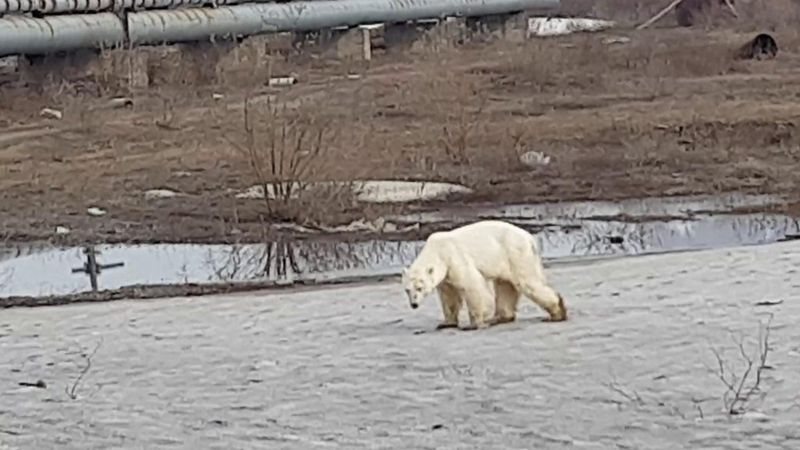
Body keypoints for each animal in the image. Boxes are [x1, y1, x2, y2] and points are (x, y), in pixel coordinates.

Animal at [400, 220, 568, 328]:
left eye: (420, 287)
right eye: (407, 290)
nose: (414, 304)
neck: (437, 251)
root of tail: (529, 238)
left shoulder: (454, 258)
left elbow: (472, 286)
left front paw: (474, 323)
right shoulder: (445, 274)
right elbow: (449, 295)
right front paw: (446, 323)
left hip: (515, 253)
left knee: (528, 282)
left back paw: (557, 314)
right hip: (505, 259)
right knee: (505, 285)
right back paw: (501, 317)